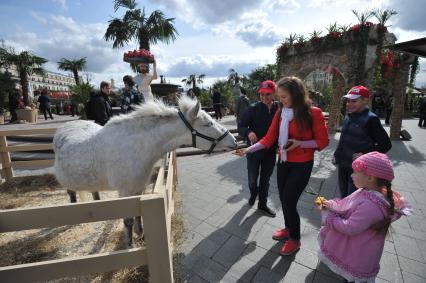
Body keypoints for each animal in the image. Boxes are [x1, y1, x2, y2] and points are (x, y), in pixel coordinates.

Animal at [52, 96, 236, 246]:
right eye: (208, 124)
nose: (234, 141)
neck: (136, 147)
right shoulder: (125, 192)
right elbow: (127, 220)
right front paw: (129, 245)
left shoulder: (138, 188)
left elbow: (137, 215)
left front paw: (141, 235)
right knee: (71, 193)